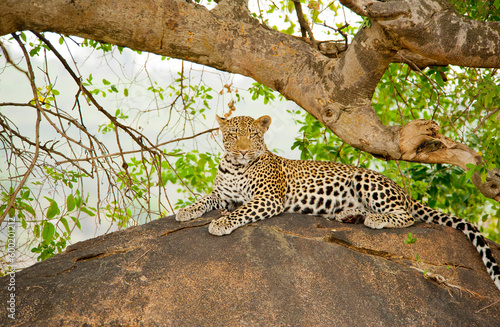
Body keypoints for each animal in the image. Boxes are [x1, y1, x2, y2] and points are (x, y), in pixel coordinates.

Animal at [176, 115, 500, 292]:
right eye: (232, 136)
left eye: (253, 136)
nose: (243, 151)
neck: (235, 167)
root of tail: (403, 190)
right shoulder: (223, 194)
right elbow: (205, 197)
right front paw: (185, 211)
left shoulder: (268, 198)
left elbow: (242, 211)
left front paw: (220, 223)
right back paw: (347, 216)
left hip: (365, 181)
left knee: (407, 216)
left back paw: (375, 219)